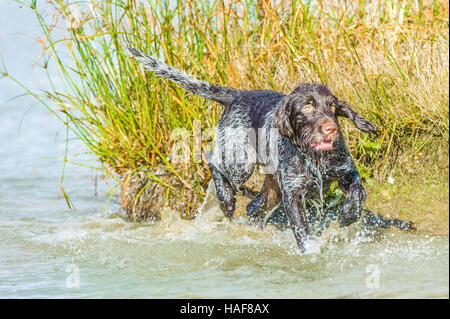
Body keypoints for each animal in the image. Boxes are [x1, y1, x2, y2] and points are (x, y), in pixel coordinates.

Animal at [127, 47, 376, 252]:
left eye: (332, 107)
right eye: (307, 107)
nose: (331, 128)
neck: (312, 157)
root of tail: (236, 95)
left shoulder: (345, 172)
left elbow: (359, 192)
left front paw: (348, 214)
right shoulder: (293, 195)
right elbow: (302, 232)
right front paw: (311, 252)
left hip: (272, 188)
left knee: (254, 207)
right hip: (241, 163)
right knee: (213, 161)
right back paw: (226, 199)